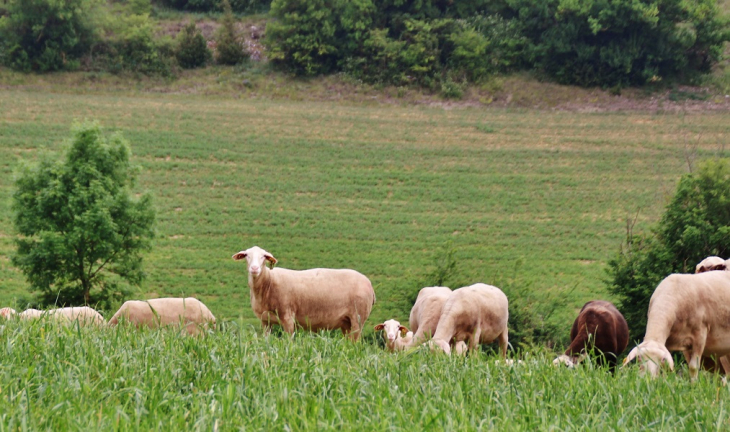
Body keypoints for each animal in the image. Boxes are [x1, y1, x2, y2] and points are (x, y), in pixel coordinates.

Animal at [232, 245, 376, 340]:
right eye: (247, 255)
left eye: (263, 257)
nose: (254, 268)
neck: (269, 282)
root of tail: (369, 283)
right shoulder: (265, 321)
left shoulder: (288, 317)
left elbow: (288, 342)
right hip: (346, 322)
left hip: (358, 318)